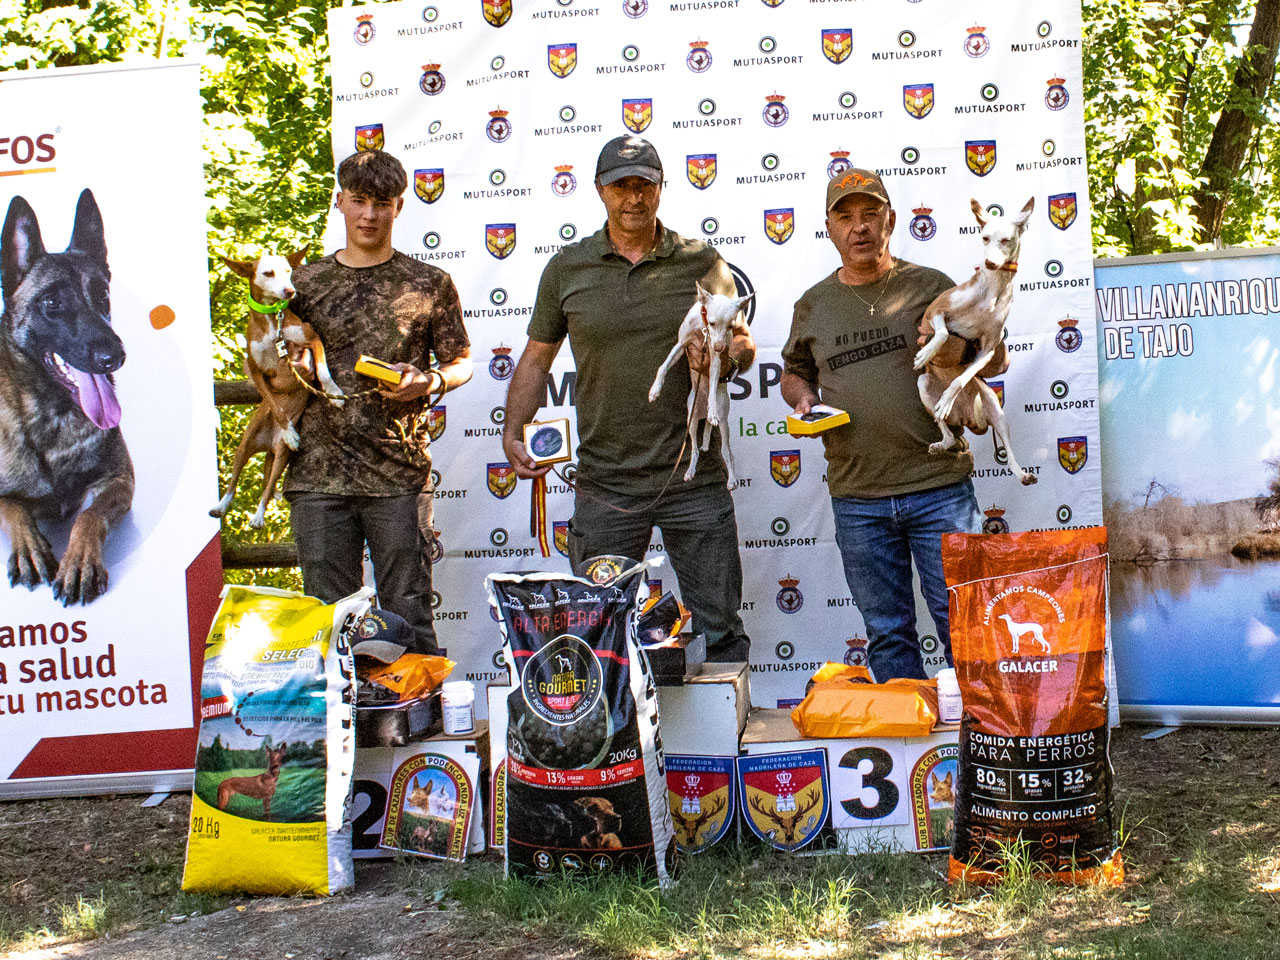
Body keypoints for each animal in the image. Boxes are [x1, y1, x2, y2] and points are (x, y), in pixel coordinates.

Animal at [208, 249, 343, 527]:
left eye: (288, 271)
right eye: (268, 273)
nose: (290, 291)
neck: (273, 322)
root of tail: (268, 444)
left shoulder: (311, 339)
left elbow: (323, 370)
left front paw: (334, 393)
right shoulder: (254, 369)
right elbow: (272, 401)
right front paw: (288, 430)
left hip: (281, 456)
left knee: (269, 487)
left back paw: (258, 516)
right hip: (245, 444)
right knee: (234, 480)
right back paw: (222, 506)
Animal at [650, 281, 747, 483]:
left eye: (731, 326)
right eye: (712, 323)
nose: (719, 347)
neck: (702, 329)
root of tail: (700, 410)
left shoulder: (715, 360)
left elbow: (712, 386)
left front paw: (712, 409)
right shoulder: (681, 345)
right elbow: (663, 366)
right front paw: (655, 390)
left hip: (724, 423)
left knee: (727, 452)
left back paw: (732, 480)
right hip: (691, 420)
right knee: (694, 448)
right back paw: (691, 470)